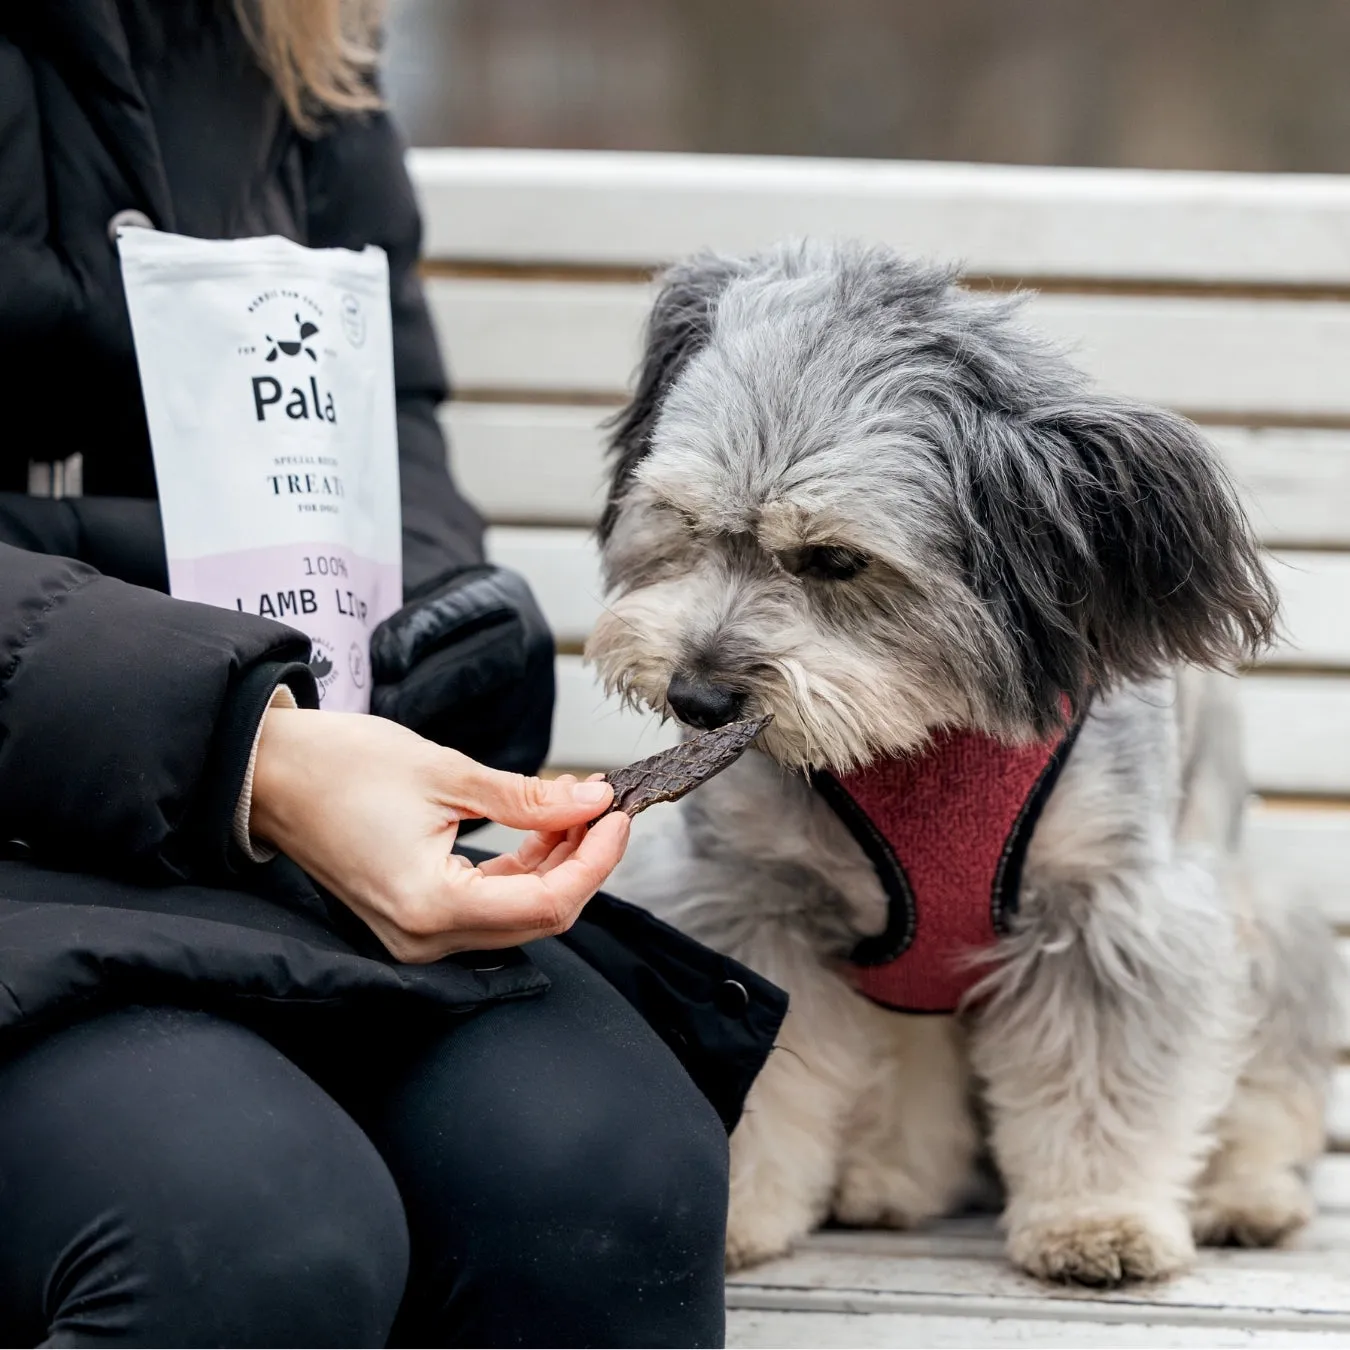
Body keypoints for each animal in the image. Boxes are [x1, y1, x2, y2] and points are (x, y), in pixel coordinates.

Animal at [591, 243, 1339, 1285]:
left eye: (836, 560)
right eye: (688, 521)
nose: (696, 699)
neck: (922, 734)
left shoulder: (1114, 912)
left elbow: (1107, 1084)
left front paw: (1097, 1219)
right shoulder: (752, 902)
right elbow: (766, 1082)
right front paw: (737, 1208)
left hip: (1270, 924)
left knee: (1267, 1100)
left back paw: (1247, 1199)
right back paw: (890, 1183)